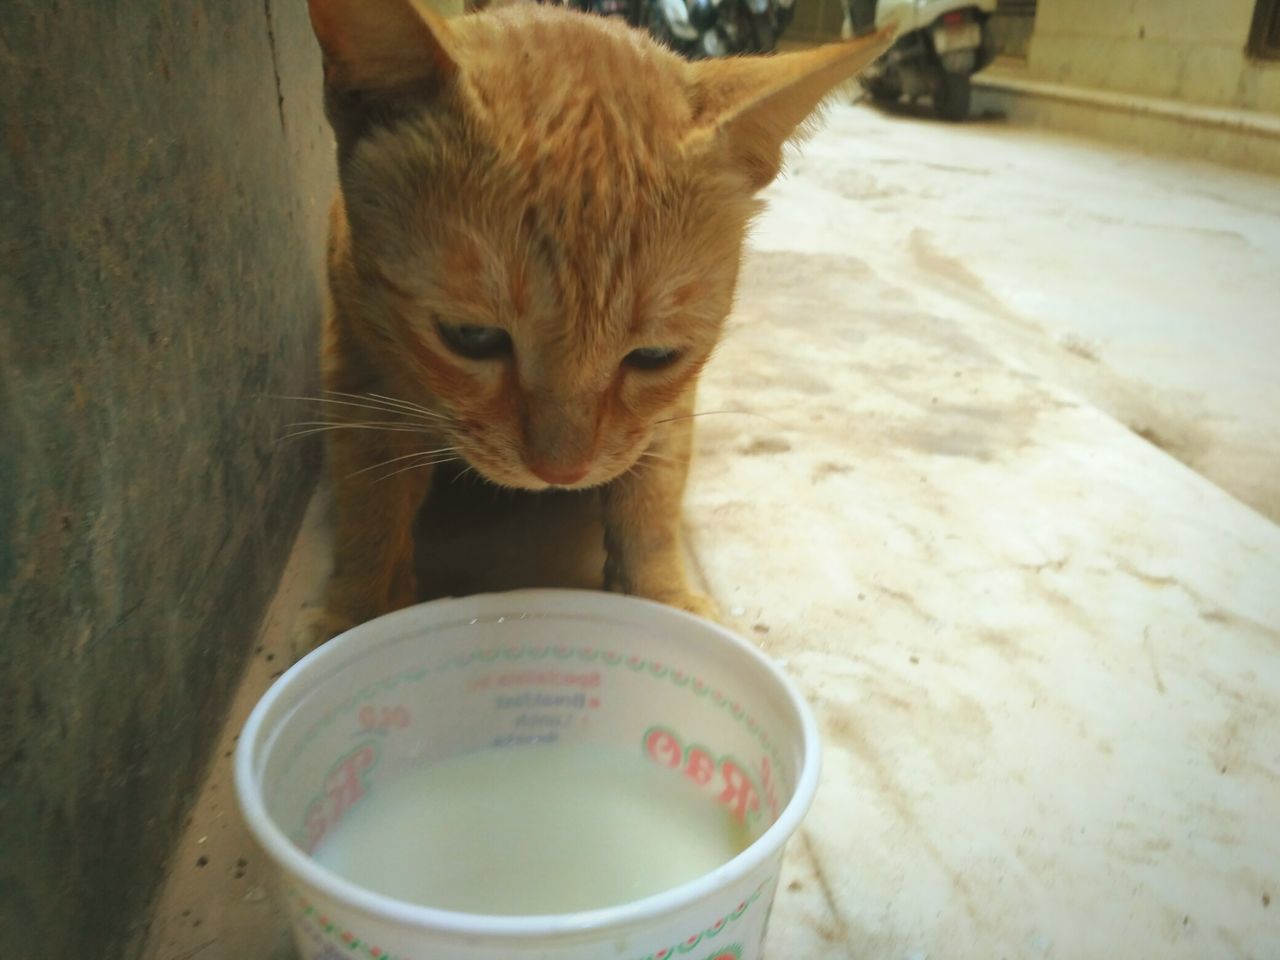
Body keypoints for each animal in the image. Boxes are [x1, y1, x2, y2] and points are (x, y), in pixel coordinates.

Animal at [299, 1, 890, 647]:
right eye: (470, 337)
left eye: (655, 356)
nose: (562, 471)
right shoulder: (359, 371)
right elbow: (370, 505)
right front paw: (356, 612)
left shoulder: (668, 412)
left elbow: (652, 500)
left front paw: (662, 595)